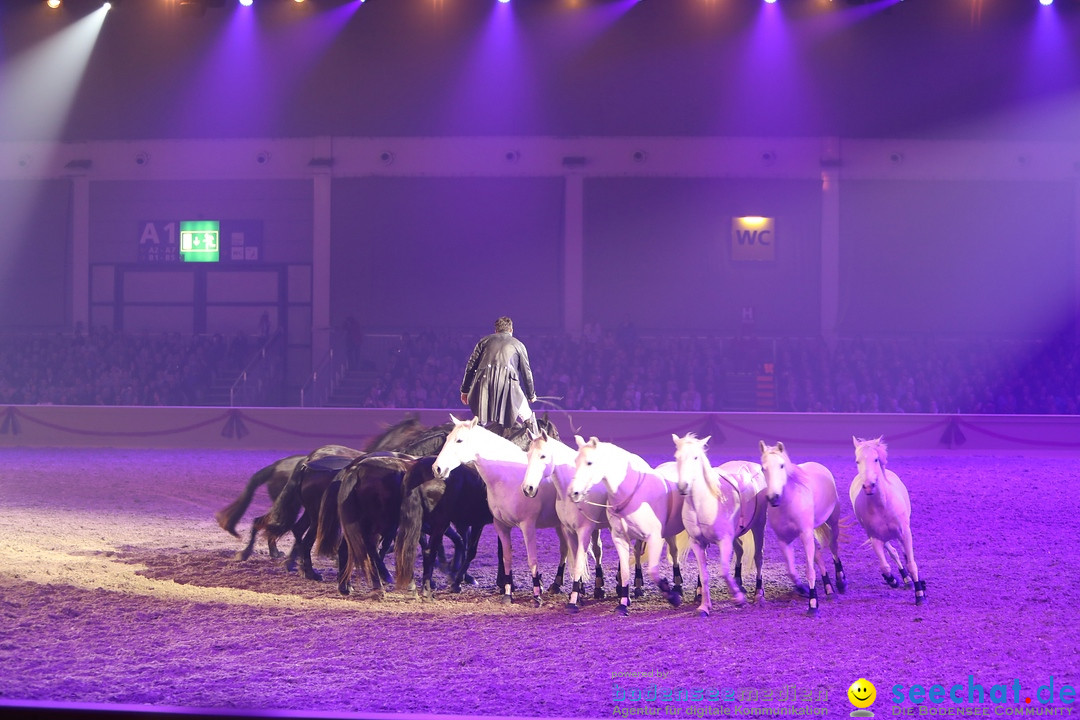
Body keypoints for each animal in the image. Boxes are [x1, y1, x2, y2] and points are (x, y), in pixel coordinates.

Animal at [434, 416, 578, 608]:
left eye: (460, 440)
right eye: (448, 438)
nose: (437, 468)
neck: (507, 476)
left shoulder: (527, 526)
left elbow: (531, 560)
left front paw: (536, 596)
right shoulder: (500, 525)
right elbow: (506, 558)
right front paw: (508, 593)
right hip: (560, 525)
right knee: (565, 549)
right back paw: (557, 585)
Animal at [565, 436, 682, 617]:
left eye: (589, 462)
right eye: (576, 461)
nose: (573, 493)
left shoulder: (655, 538)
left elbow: (653, 570)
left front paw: (672, 596)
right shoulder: (620, 538)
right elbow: (625, 571)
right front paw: (623, 604)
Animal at [673, 433, 768, 621]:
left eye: (696, 457)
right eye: (677, 457)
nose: (683, 486)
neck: (703, 504)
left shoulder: (724, 541)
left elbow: (723, 571)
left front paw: (739, 599)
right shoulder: (697, 543)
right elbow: (704, 575)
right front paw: (704, 606)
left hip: (759, 525)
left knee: (758, 557)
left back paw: (758, 594)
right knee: (740, 550)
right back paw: (739, 584)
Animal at [756, 442, 846, 617]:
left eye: (782, 465)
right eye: (763, 468)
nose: (773, 498)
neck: (788, 505)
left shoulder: (805, 534)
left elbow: (810, 570)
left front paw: (813, 604)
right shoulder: (784, 540)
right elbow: (791, 570)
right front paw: (802, 588)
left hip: (832, 523)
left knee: (834, 547)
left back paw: (840, 581)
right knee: (818, 556)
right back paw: (829, 589)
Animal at [851, 436, 928, 604]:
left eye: (875, 459)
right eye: (857, 461)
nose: (868, 486)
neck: (882, 505)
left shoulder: (905, 533)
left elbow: (911, 563)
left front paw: (920, 594)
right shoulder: (875, 538)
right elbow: (885, 566)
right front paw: (892, 580)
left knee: (904, 555)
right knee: (893, 553)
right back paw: (905, 579)